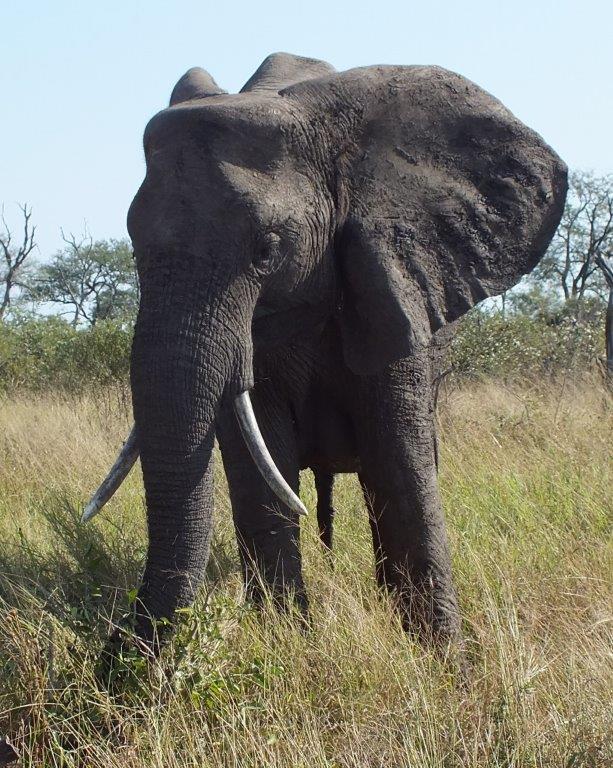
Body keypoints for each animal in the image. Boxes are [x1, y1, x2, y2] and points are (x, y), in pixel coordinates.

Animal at [83, 52, 568, 656]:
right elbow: (260, 472)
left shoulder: (393, 284)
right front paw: (290, 646)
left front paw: (446, 663)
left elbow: (400, 468)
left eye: (266, 248)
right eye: (132, 242)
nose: (118, 656)